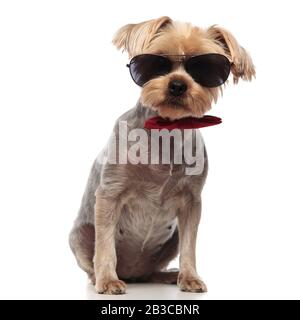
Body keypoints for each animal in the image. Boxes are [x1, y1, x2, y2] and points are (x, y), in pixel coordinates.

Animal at [69, 16, 254, 294]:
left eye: (206, 68)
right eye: (157, 61)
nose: (177, 85)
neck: (166, 130)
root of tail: (133, 273)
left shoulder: (191, 203)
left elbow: (190, 245)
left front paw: (190, 277)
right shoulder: (109, 194)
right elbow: (105, 245)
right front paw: (108, 280)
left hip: (170, 240)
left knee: (153, 269)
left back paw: (169, 274)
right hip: (79, 236)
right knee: (92, 259)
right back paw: (100, 278)